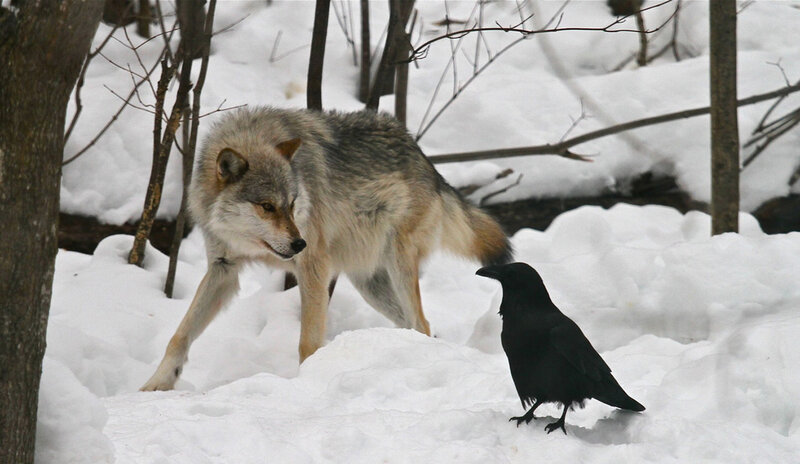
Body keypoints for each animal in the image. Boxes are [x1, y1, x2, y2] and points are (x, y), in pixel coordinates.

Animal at [141, 107, 512, 391]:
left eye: (292, 204)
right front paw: (157, 384)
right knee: (418, 325)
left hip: (398, 266)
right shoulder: (222, 270)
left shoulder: (313, 267)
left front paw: (309, 381)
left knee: (421, 322)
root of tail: (426, 161)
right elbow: (179, 335)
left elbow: (308, 341)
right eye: (267, 207)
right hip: (370, 285)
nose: (299, 242)